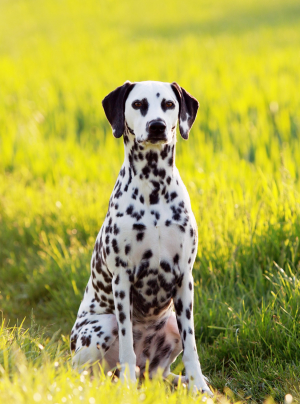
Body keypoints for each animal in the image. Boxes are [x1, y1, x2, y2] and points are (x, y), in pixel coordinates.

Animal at [70, 80, 211, 392]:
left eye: (169, 104)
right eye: (137, 104)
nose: (157, 125)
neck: (153, 188)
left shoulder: (185, 279)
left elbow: (192, 346)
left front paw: (200, 386)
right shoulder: (122, 280)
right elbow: (126, 345)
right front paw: (126, 387)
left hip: (170, 325)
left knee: (161, 372)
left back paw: (182, 380)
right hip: (100, 327)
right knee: (87, 372)